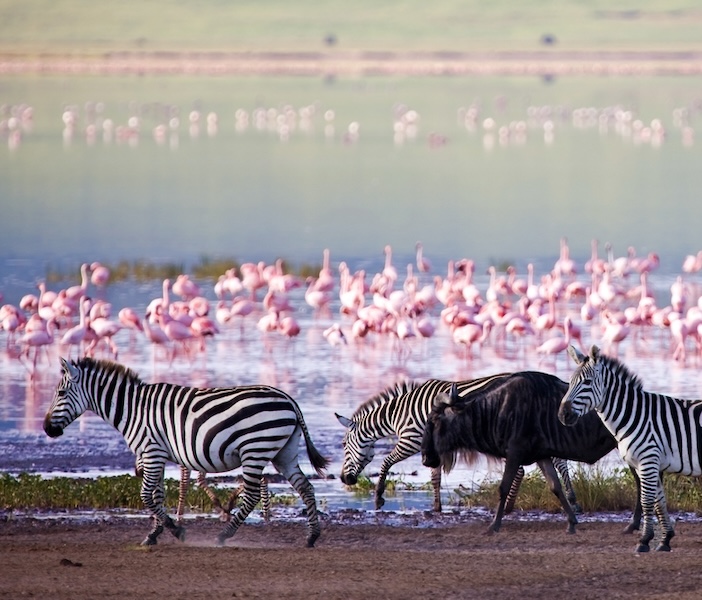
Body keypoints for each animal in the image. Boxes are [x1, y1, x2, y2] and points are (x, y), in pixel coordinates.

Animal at [44, 356, 330, 548]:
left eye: (61, 392)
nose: (46, 428)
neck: (133, 409)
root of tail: (288, 399)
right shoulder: (156, 455)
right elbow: (157, 495)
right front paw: (154, 534)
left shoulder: (151, 452)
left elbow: (146, 495)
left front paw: (175, 530)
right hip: (284, 452)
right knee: (305, 487)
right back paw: (312, 536)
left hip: (255, 450)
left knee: (251, 495)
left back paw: (224, 535)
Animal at [338, 376, 580, 510]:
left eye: (343, 445)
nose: (343, 479)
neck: (399, 413)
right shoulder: (431, 446)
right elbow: (435, 478)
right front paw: (436, 507)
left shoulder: (410, 440)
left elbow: (385, 463)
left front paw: (378, 498)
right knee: (554, 462)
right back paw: (571, 499)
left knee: (526, 468)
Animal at [560, 344, 700, 552]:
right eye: (569, 383)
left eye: (587, 382)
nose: (563, 415)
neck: (634, 414)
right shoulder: (650, 463)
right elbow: (659, 502)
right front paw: (665, 540)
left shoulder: (648, 461)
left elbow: (647, 501)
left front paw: (644, 540)